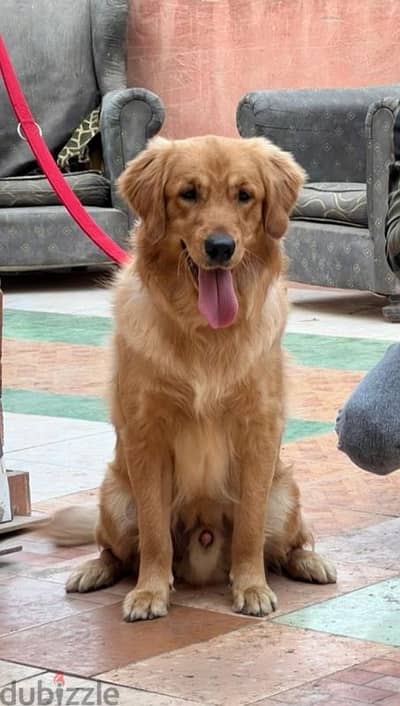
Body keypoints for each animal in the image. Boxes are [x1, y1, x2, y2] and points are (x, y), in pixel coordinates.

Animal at [50, 135, 338, 620]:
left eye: (244, 195)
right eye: (188, 194)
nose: (221, 246)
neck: (205, 333)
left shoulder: (258, 431)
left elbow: (248, 530)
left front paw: (251, 586)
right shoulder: (146, 434)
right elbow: (154, 534)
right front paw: (149, 592)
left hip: (284, 496)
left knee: (286, 545)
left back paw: (310, 563)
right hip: (115, 499)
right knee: (116, 551)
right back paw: (93, 571)